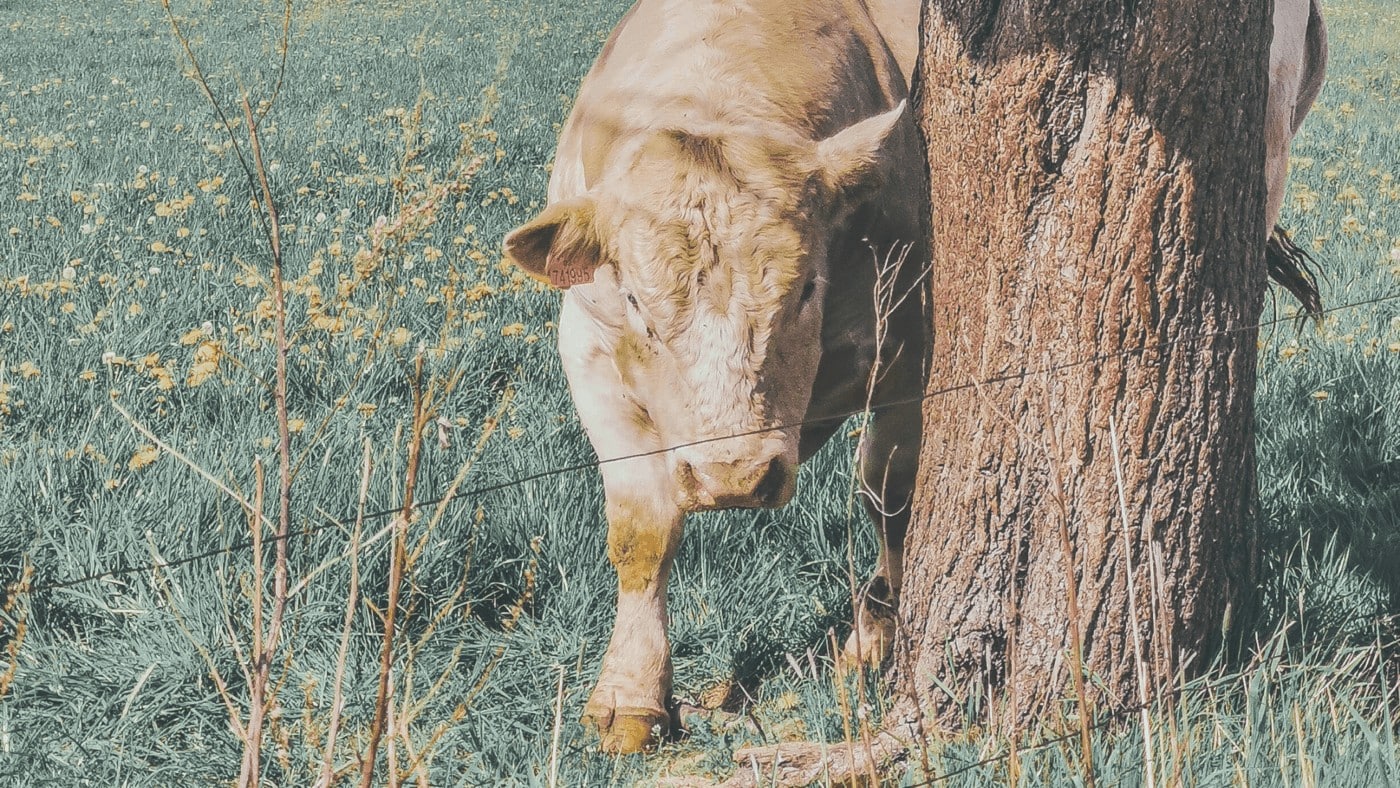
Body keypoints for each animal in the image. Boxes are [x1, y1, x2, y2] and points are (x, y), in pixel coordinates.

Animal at [501, 0, 1321, 755]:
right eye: (639, 302)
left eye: (806, 287)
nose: (734, 475)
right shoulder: (589, 349)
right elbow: (641, 531)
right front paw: (629, 696)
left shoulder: (911, 343)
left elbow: (890, 491)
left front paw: (876, 642)